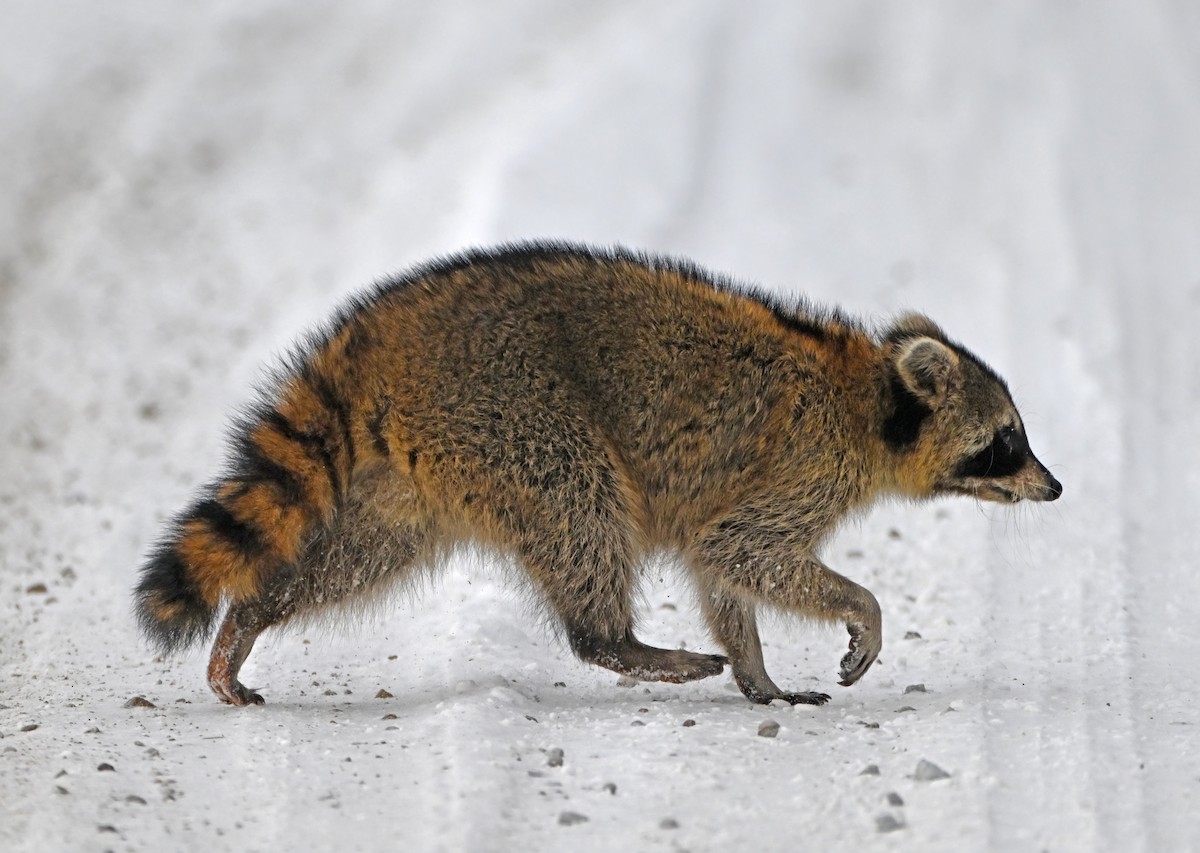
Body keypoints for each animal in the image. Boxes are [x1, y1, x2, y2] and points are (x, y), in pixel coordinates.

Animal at [135, 242, 1061, 706]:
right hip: (516, 414)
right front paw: (861, 610)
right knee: (583, 508)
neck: (870, 393)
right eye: (1006, 441)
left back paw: (251, 615)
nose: (1053, 487)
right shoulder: (803, 465)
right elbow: (743, 551)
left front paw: (759, 670)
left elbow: (721, 570)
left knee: (360, 555)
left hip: (420, 466)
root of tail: (377, 335)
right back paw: (618, 640)